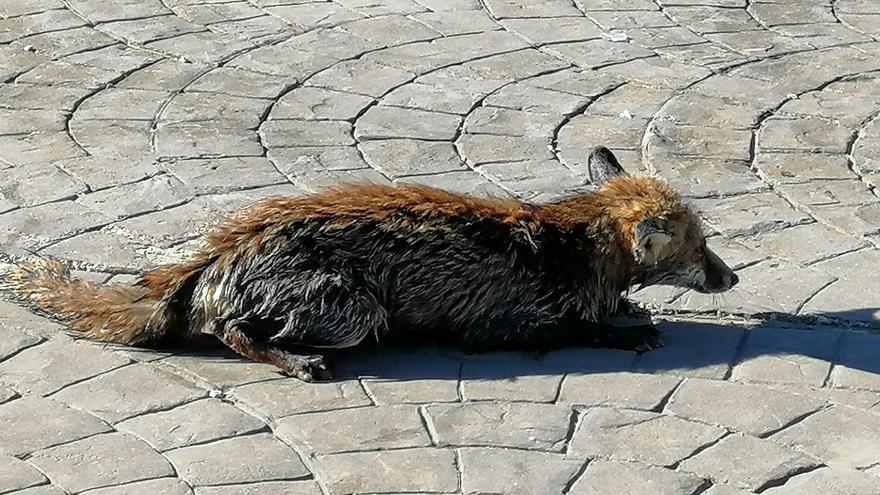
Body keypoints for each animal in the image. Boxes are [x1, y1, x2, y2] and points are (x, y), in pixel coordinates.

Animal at [3, 149, 740, 382]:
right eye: (701, 248)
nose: (732, 278)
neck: (574, 246)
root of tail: (210, 258)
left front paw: (627, 309)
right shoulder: (498, 327)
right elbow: (578, 328)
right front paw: (626, 330)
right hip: (353, 310)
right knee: (231, 331)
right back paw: (294, 361)